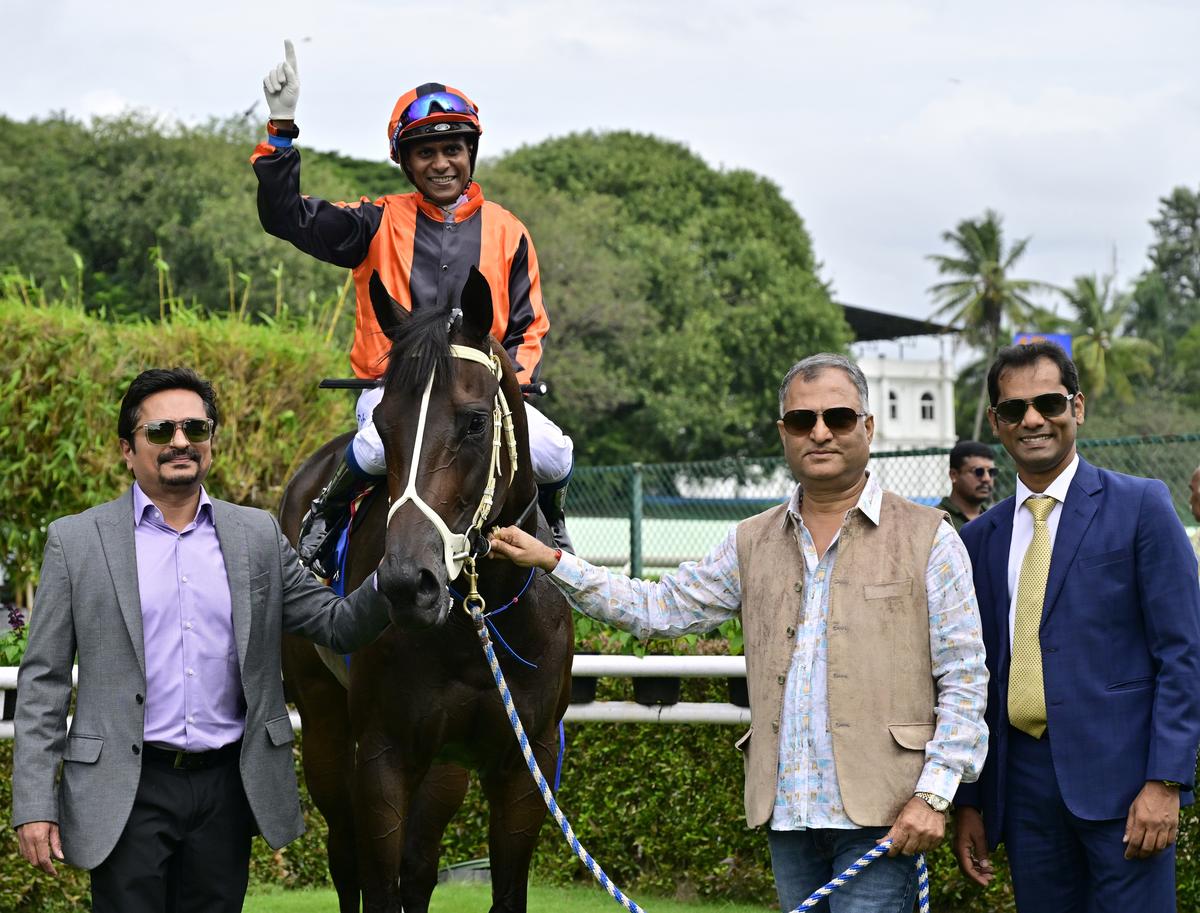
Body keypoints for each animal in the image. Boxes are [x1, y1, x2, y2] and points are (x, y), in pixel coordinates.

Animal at [283, 271, 578, 911]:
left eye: (475, 422)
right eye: (384, 427)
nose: (404, 584)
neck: (478, 620)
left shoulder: (527, 763)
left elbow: (500, 888)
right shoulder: (384, 755)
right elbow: (377, 881)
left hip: (447, 765)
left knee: (419, 865)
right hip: (322, 723)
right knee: (345, 854)